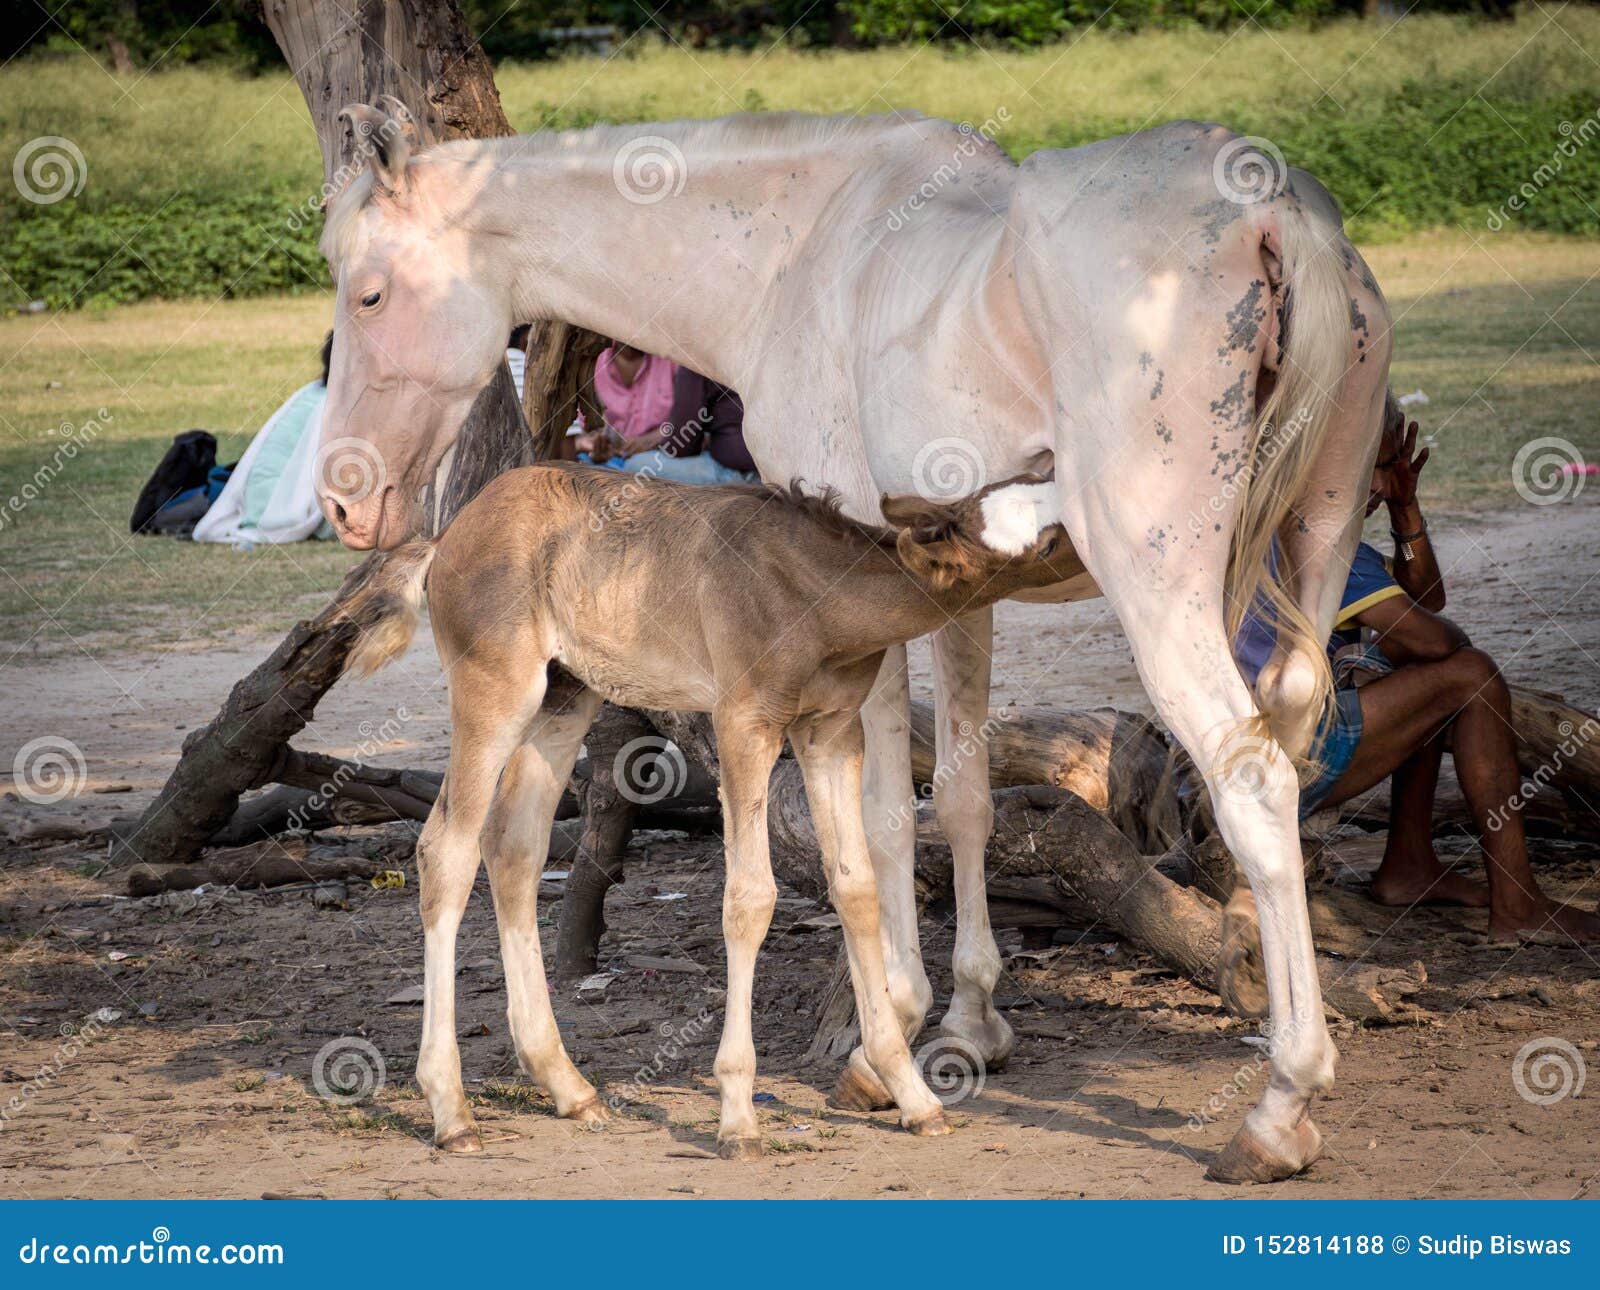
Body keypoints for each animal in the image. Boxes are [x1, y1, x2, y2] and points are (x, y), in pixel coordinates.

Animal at [312, 100, 1388, 1184]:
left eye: (368, 294)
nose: (343, 498)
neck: (795, 254)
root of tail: (1273, 213)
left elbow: (878, 824)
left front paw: (891, 1036)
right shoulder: (948, 596)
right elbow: (957, 800)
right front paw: (964, 1023)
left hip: (1160, 590)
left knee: (1253, 779)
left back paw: (1282, 1101)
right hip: (1318, 543)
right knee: (1291, 741)